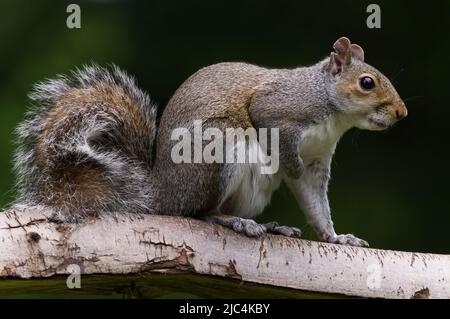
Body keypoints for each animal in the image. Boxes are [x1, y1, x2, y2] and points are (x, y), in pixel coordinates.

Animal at [13, 37, 408, 248]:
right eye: (367, 83)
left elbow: (315, 203)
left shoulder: (317, 162)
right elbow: (272, 130)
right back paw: (232, 222)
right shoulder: (278, 108)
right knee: (200, 211)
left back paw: (268, 225)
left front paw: (337, 237)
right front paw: (287, 164)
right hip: (218, 148)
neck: (331, 113)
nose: (401, 112)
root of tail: (161, 193)